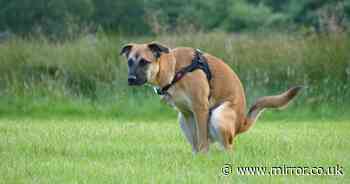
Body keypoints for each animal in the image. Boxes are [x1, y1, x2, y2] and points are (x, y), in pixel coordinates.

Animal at [120, 42, 300, 153]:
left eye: (144, 62)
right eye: (130, 62)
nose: (130, 79)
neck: (175, 68)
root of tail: (241, 124)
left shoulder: (200, 109)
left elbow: (202, 140)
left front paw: (203, 157)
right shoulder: (187, 113)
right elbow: (196, 140)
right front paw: (196, 158)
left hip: (219, 115)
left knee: (229, 148)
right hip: (181, 119)